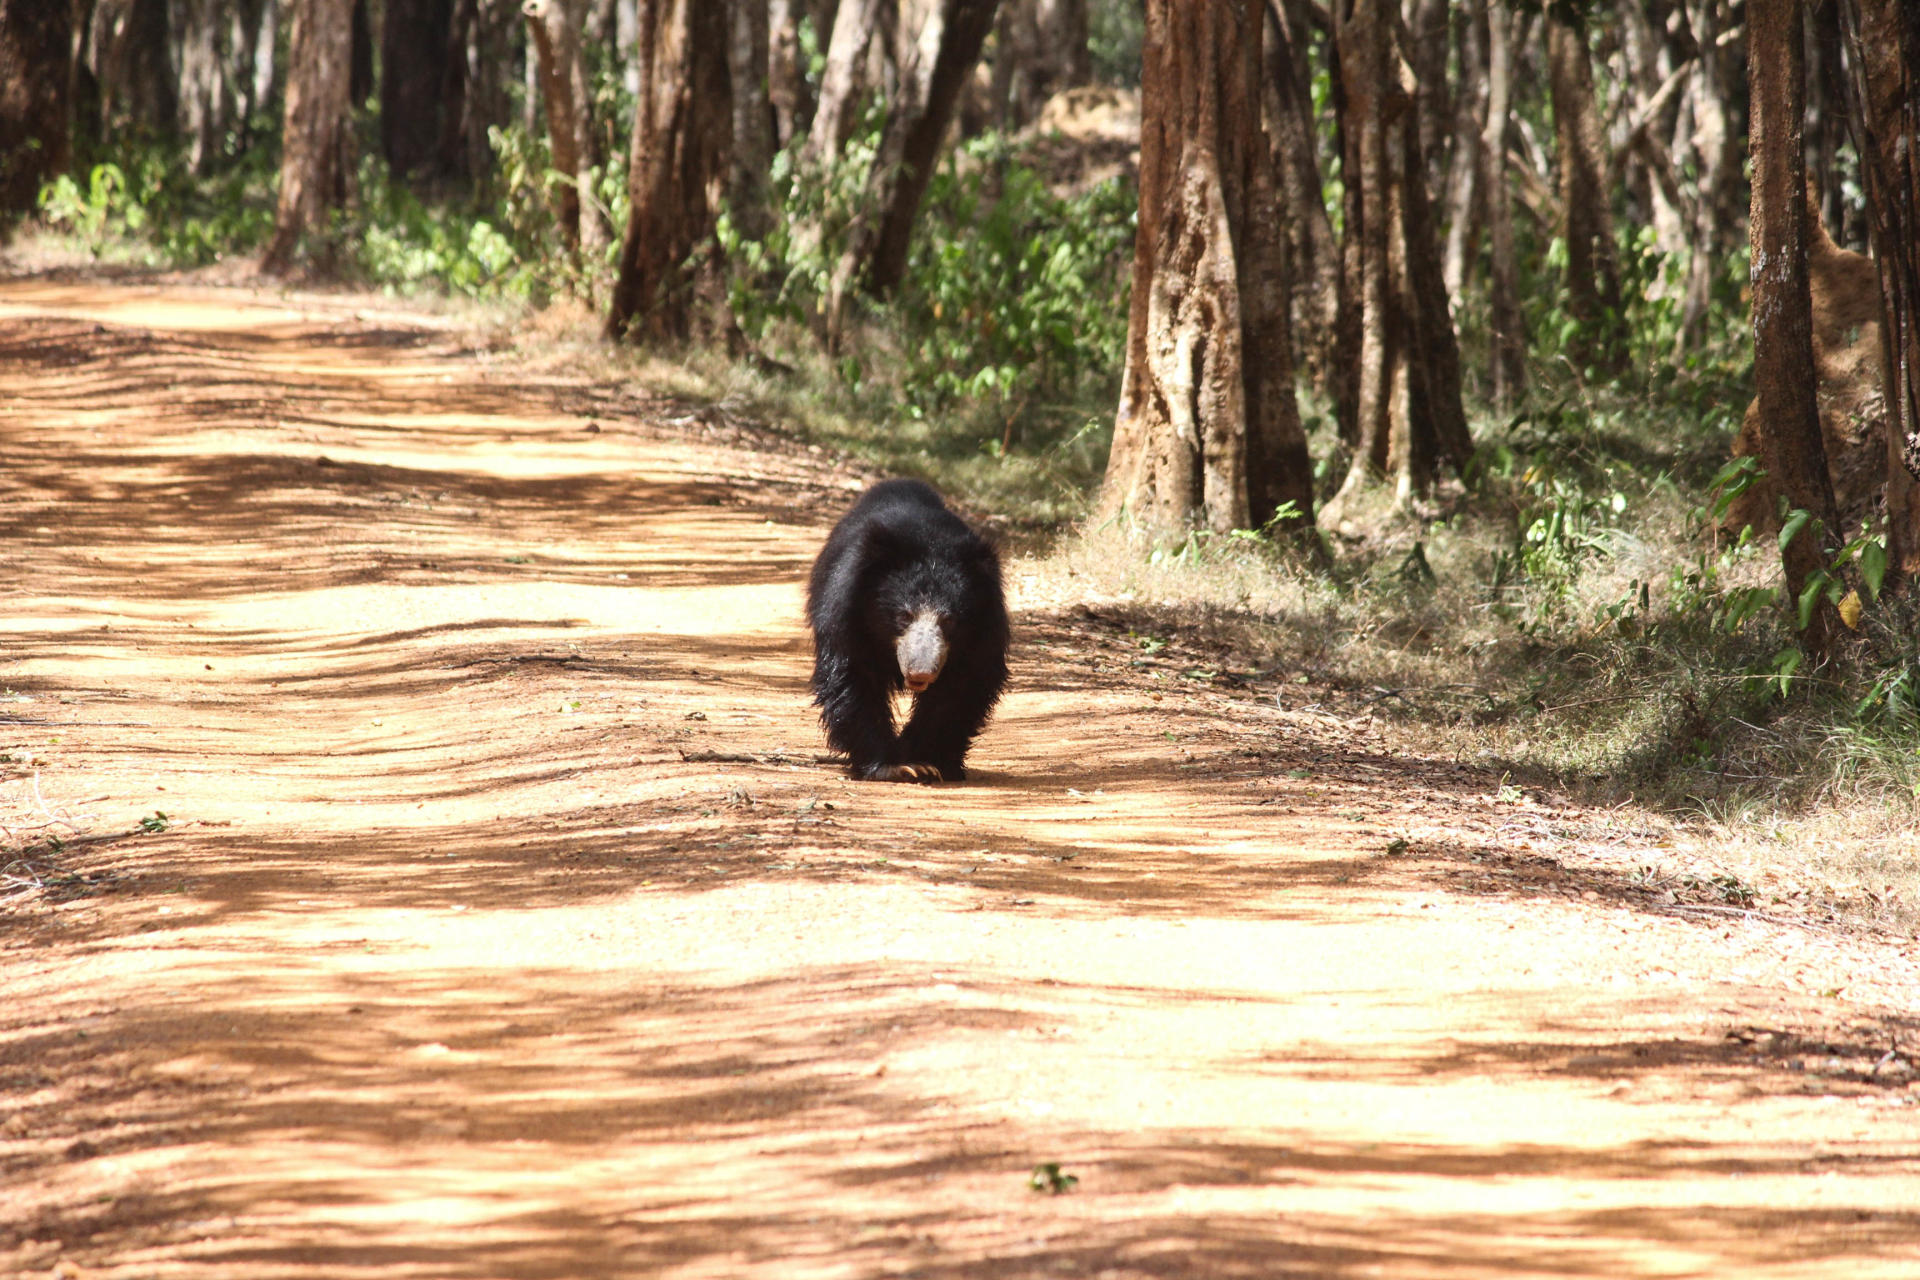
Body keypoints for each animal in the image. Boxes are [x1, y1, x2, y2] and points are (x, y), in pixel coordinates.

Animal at [806, 478, 1010, 783]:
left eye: (949, 620)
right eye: (904, 615)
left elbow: (961, 688)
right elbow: (854, 678)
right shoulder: (847, 615)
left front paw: (927, 761)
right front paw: (894, 766)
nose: (921, 672)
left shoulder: (984, 632)